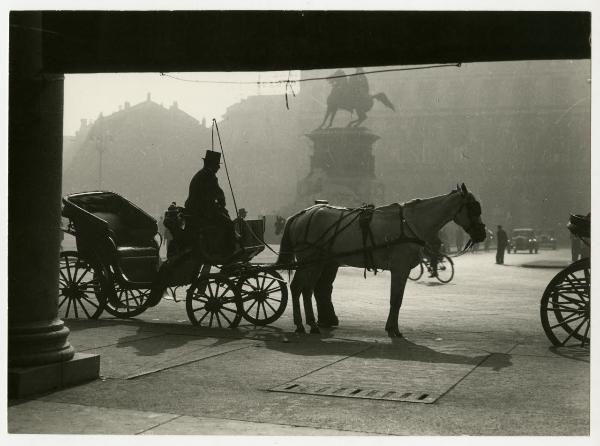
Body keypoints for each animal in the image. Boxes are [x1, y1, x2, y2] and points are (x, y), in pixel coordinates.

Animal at [276, 183, 488, 336]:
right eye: (474, 208)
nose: (482, 234)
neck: (411, 222)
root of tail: (302, 214)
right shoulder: (400, 268)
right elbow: (396, 299)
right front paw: (393, 329)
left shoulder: (402, 269)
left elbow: (397, 299)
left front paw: (391, 327)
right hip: (308, 258)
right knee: (297, 288)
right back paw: (301, 324)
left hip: (317, 261)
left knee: (306, 289)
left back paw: (311, 324)